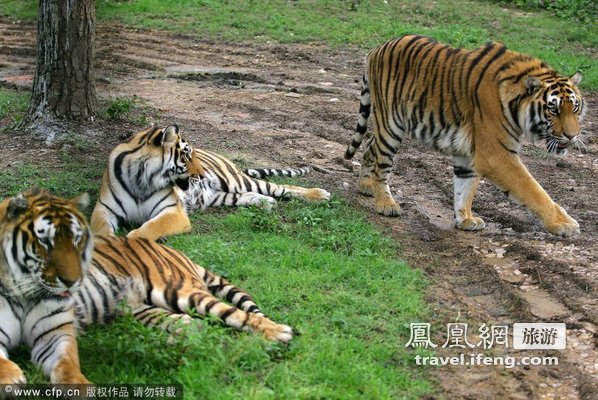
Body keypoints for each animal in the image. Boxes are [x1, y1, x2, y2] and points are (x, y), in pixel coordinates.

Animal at [0, 190, 296, 384]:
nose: (72, 280)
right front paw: (13, 377)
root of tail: (176, 252)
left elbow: (68, 368)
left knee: (235, 315)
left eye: (76, 240)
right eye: (45, 242)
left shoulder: (54, 335)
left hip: (180, 291)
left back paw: (280, 332)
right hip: (146, 310)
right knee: (196, 327)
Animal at [180, 148, 336, 214]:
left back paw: (320, 195)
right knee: (241, 197)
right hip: (213, 197)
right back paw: (267, 203)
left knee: (280, 187)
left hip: (233, 180)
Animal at [346, 35, 584, 238]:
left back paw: (366, 186)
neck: (514, 101)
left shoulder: (469, 152)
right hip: (390, 124)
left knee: (370, 147)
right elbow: (532, 189)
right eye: (553, 110)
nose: (572, 136)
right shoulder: (496, 154)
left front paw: (466, 219)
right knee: (382, 163)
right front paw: (562, 223)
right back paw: (386, 204)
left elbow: (465, 187)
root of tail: (378, 47)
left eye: (575, 108)